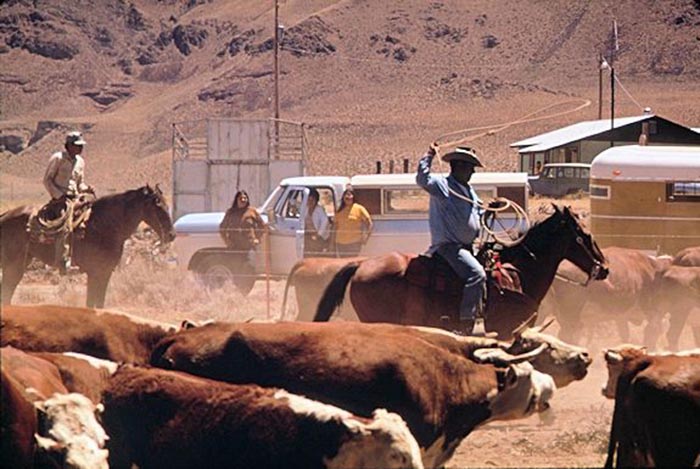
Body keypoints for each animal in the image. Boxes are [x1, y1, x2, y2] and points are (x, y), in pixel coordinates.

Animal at [1, 185, 175, 308]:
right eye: (158, 206)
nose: (171, 234)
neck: (105, 226)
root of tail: (4, 216)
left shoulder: (105, 273)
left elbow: (99, 304)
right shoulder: (95, 273)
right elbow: (91, 304)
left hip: (20, 265)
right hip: (12, 265)